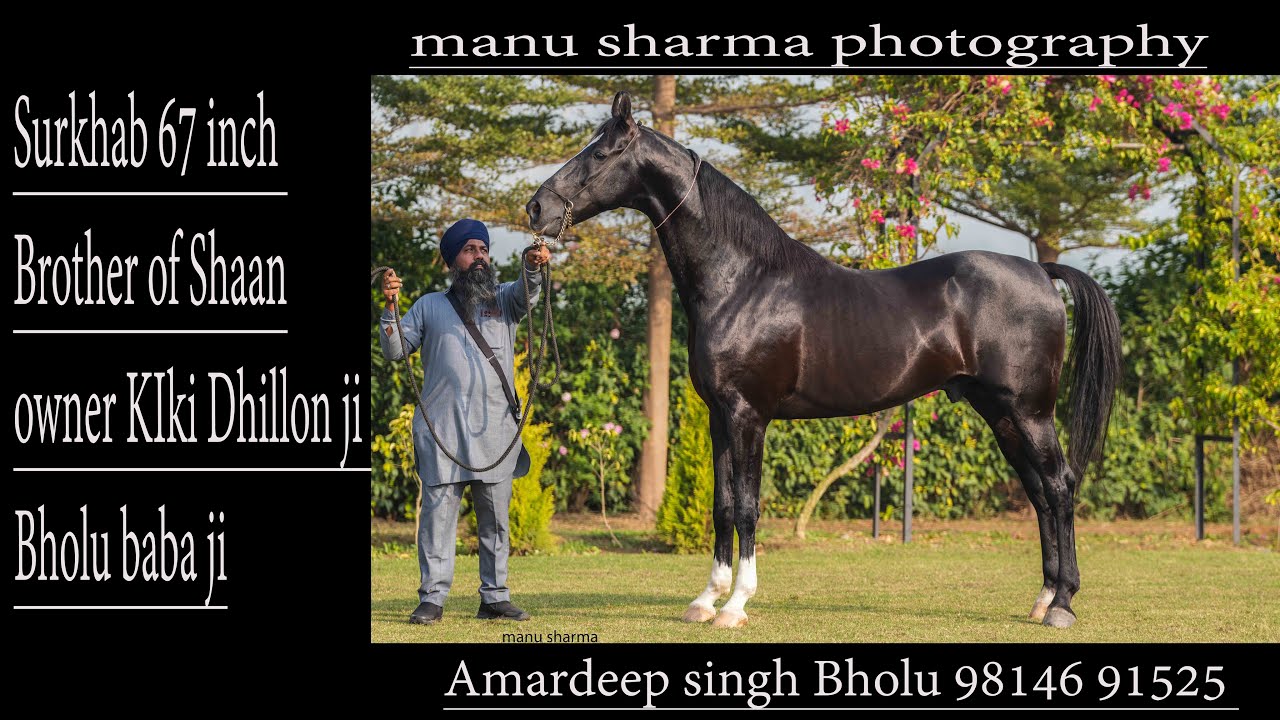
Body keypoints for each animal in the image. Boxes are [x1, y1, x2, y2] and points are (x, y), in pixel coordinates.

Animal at [526, 91, 1121, 630]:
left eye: (602, 153)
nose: (537, 208)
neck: (742, 281)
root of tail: (1041, 272)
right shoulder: (719, 418)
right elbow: (721, 507)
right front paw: (705, 600)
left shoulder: (748, 416)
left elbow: (748, 507)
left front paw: (736, 606)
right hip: (1000, 413)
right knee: (1040, 493)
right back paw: (1043, 599)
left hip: (1030, 412)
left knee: (1060, 486)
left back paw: (1063, 606)